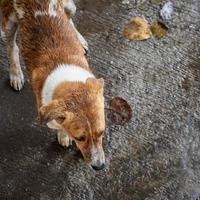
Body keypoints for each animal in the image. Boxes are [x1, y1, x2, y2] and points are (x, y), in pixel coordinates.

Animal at [0, 0, 105, 170]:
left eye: (101, 132)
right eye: (80, 137)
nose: (99, 167)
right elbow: (60, 125)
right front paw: (64, 136)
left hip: (70, 6)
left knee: (69, 17)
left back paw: (80, 39)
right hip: (7, 24)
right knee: (12, 46)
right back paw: (15, 73)